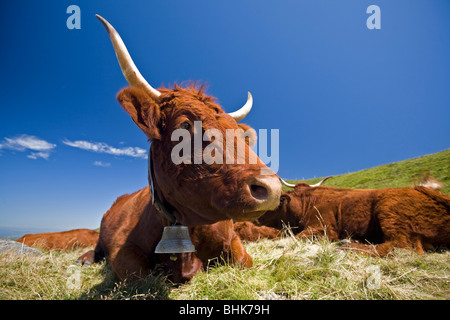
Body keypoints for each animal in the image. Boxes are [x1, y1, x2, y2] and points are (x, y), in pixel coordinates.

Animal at [77, 15, 282, 282]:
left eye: (237, 132)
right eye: (184, 125)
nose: (272, 188)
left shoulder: (234, 240)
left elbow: (243, 260)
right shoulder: (121, 247)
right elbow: (137, 273)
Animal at [253, 181, 450, 256]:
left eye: (277, 200)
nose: (255, 217)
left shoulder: (323, 228)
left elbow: (293, 238)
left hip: (390, 212)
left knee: (399, 246)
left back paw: (348, 244)